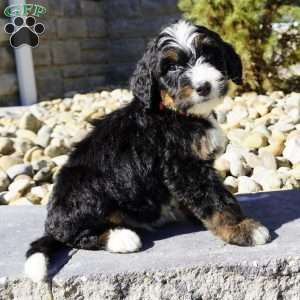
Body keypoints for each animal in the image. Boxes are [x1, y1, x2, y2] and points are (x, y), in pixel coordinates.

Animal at [24, 19, 270, 282]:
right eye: (172, 67)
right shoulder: (184, 167)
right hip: (86, 189)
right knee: (73, 235)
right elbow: (215, 200)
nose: (203, 86)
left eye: (209, 54)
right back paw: (120, 238)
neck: (173, 112)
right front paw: (241, 228)